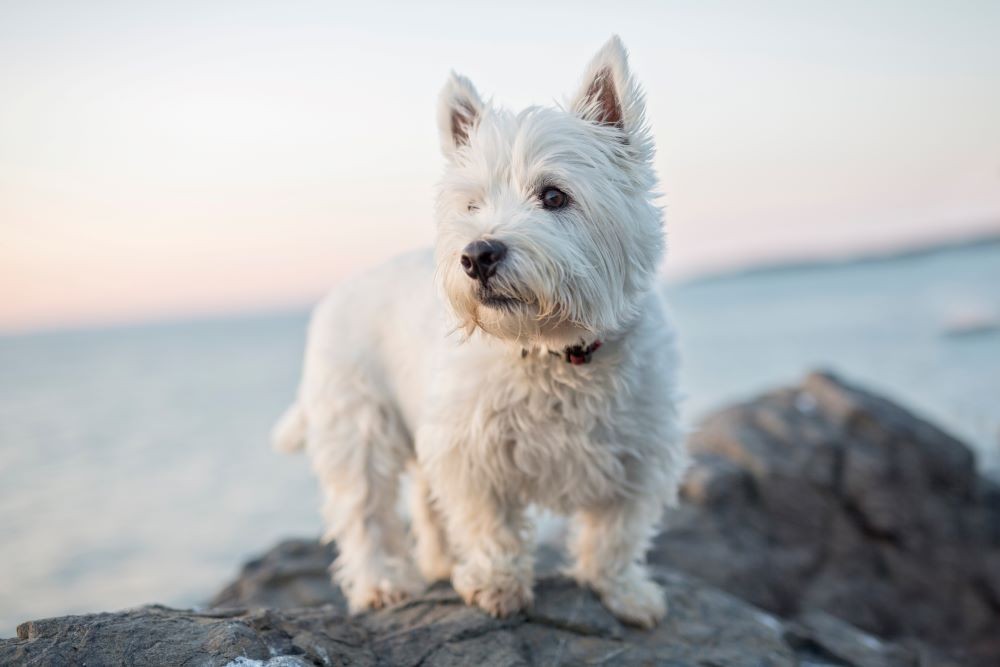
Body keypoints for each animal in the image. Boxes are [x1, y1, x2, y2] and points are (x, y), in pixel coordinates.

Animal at [274, 35, 688, 632]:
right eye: (472, 204)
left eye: (554, 195)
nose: (477, 255)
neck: (551, 350)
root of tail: (338, 290)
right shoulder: (469, 450)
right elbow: (489, 523)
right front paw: (497, 585)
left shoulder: (640, 451)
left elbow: (617, 532)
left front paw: (624, 593)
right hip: (358, 423)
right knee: (365, 511)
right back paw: (382, 585)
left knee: (422, 503)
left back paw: (441, 564)